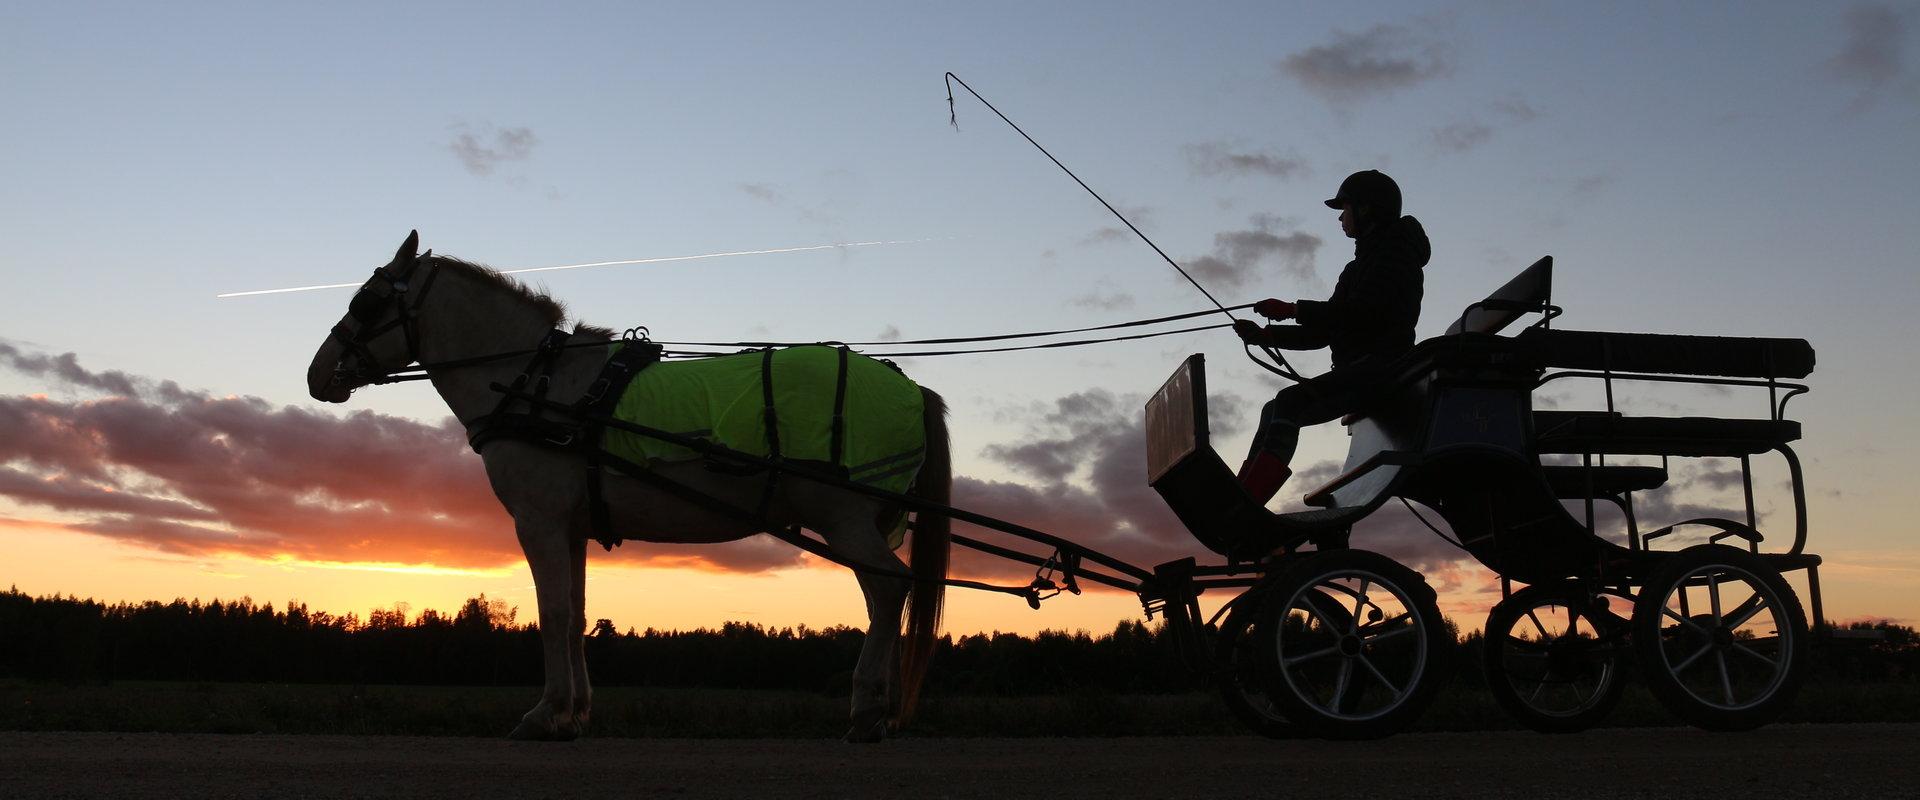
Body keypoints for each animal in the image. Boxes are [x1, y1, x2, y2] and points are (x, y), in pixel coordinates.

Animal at [305, 232, 952, 740]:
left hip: (845, 518)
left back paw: (866, 708)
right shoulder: (570, 527)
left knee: (890, 587)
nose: (317, 374)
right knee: (883, 597)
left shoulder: (538, 521)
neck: (537, 384)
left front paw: (546, 713)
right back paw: (879, 707)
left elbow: (552, 611)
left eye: (366, 302)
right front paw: (575, 713)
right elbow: (575, 612)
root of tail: (909, 386)